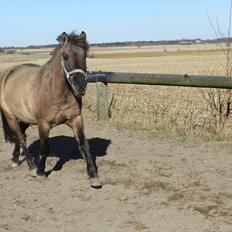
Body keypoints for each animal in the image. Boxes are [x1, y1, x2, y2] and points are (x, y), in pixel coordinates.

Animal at [0, 31, 101, 188]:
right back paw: (32, 167)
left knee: (20, 135)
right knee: (21, 138)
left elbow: (84, 145)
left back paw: (15, 159)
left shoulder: (76, 119)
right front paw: (41, 172)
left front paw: (93, 176)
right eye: (65, 56)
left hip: (25, 118)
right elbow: (44, 148)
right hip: (10, 115)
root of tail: (8, 73)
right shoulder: (43, 124)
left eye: (84, 55)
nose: (80, 86)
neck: (55, 92)